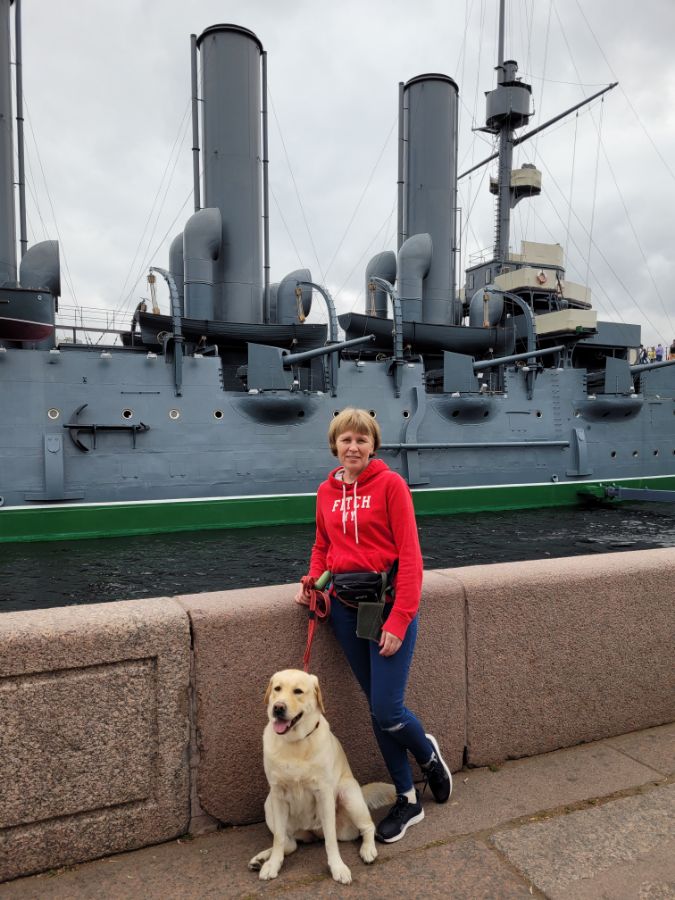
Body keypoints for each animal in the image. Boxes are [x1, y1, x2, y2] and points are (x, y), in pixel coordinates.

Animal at [248, 668, 395, 884]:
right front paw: (273, 864)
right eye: (277, 689)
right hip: (269, 805)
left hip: (348, 796)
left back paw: (368, 850)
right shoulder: (278, 795)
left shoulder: (324, 793)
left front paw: (338, 867)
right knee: (289, 843)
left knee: (367, 827)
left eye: (298, 691)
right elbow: (279, 839)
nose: (278, 708)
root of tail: (312, 832)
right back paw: (261, 858)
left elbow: (331, 841)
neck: (295, 742)